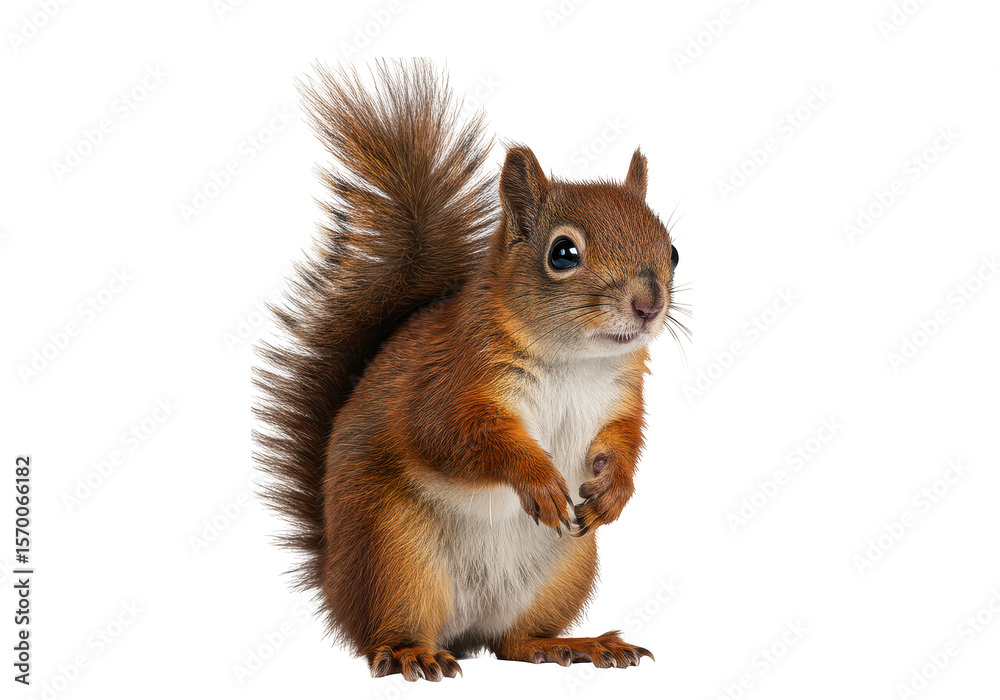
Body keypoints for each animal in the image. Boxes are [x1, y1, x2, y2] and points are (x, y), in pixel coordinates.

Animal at [255, 59, 681, 682]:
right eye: (563, 254)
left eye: (672, 251)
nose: (649, 304)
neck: (573, 362)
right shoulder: (448, 380)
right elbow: (455, 437)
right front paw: (538, 479)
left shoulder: (621, 399)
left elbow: (623, 442)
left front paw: (615, 490)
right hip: (396, 559)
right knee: (388, 635)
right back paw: (413, 653)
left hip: (564, 571)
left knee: (513, 642)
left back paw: (573, 644)